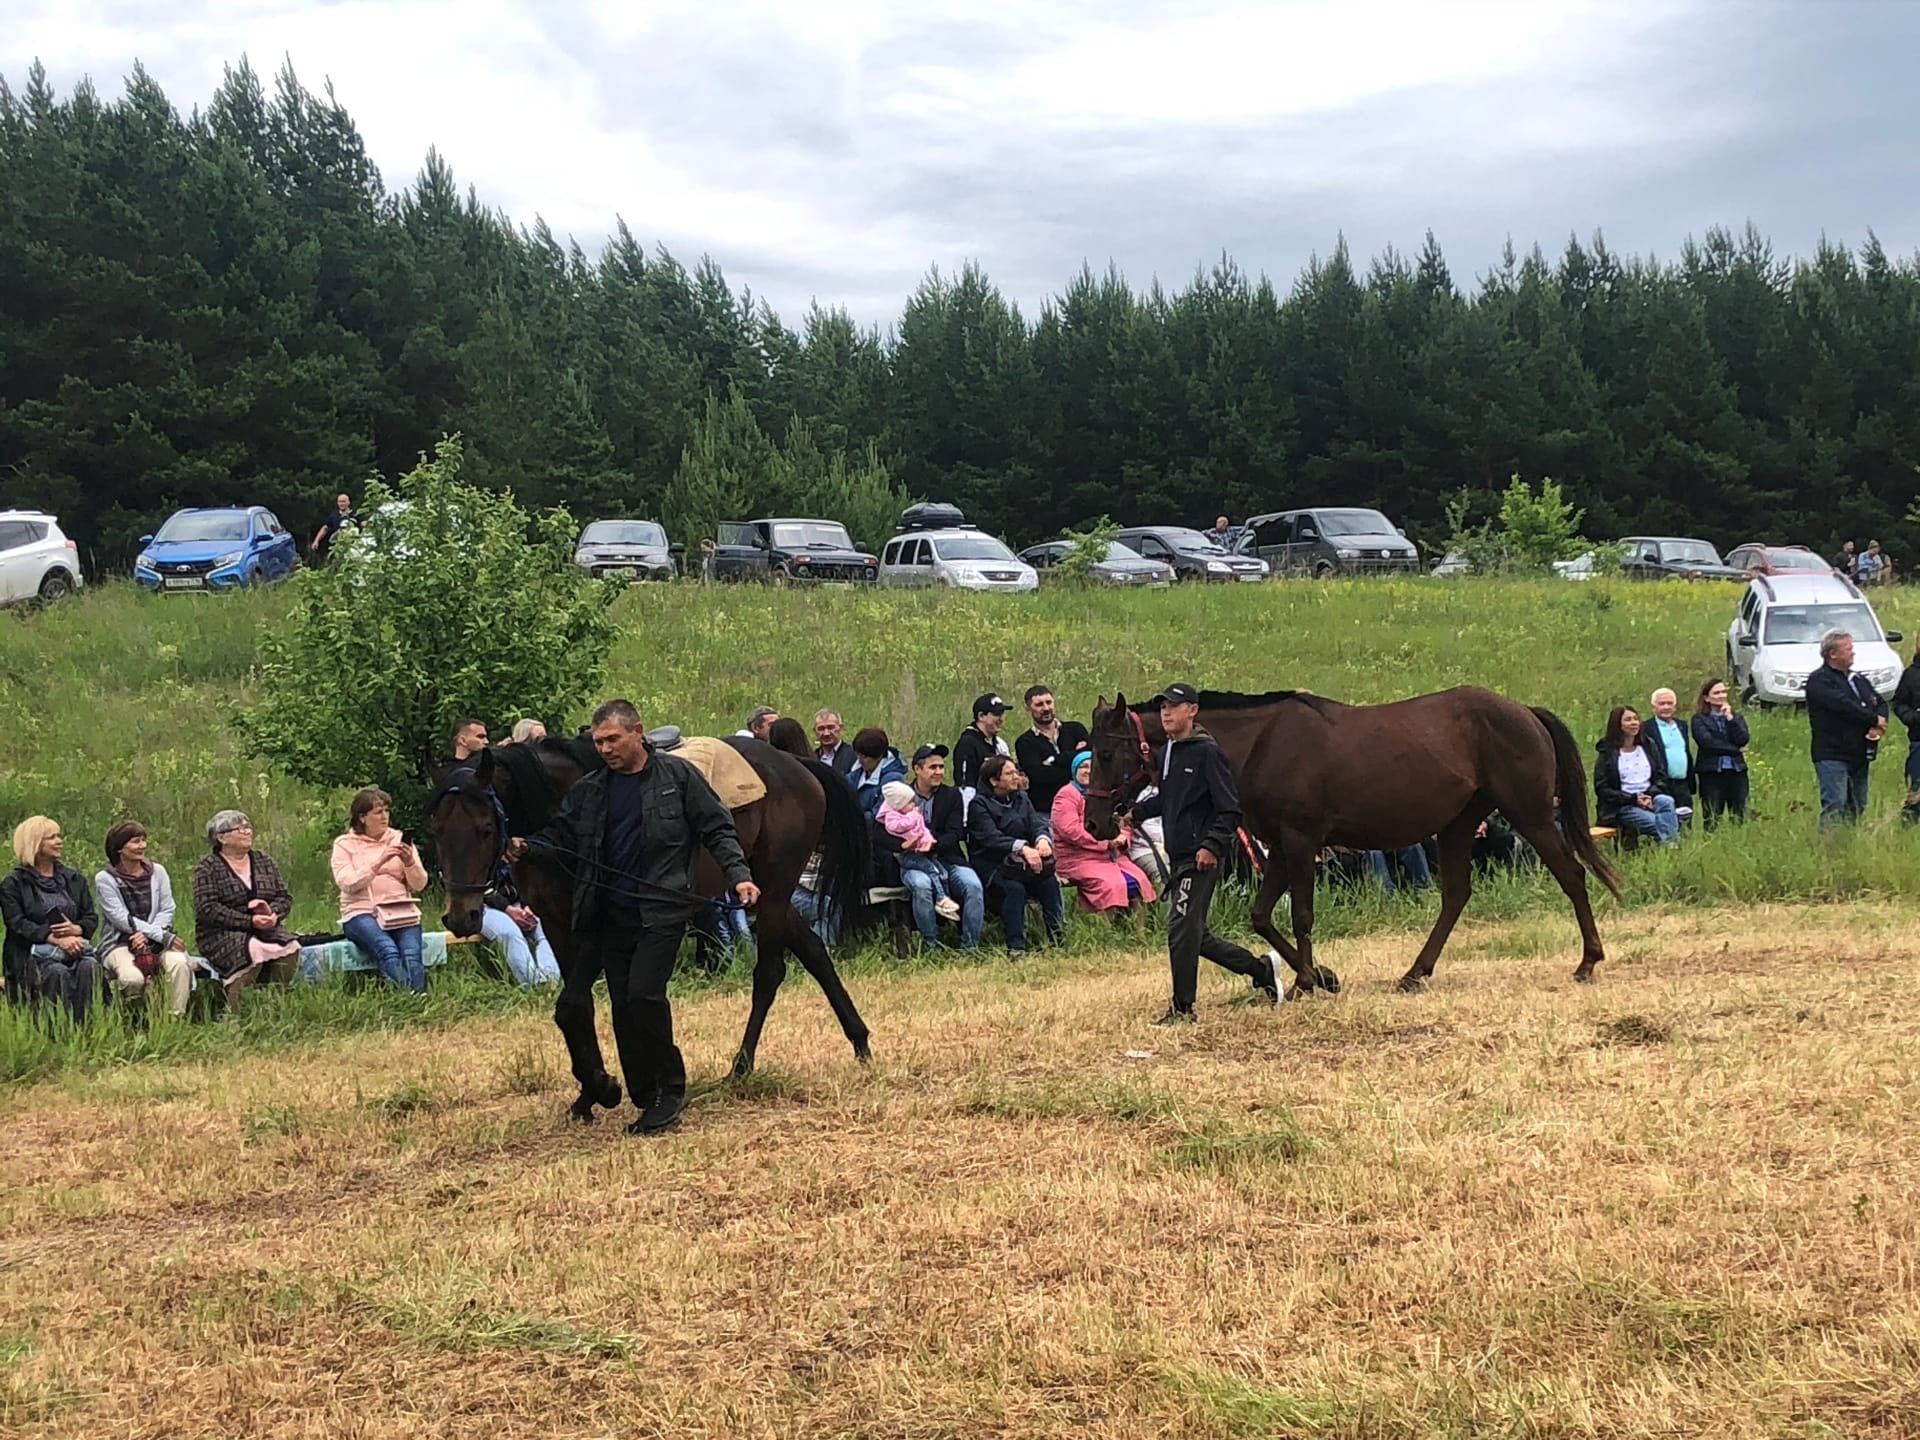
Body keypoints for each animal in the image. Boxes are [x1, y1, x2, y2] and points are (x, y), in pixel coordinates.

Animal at [1082, 687, 1620, 990]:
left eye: (1107, 752)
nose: (1095, 823)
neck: (1259, 745)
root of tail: (1522, 711)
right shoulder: (1281, 845)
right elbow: (1261, 915)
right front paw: (1322, 976)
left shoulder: (1299, 839)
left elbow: (1300, 915)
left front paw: (1305, 980)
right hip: (1458, 824)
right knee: (1456, 895)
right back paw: (1414, 973)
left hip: (1529, 814)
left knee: (1571, 875)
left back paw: (1588, 962)